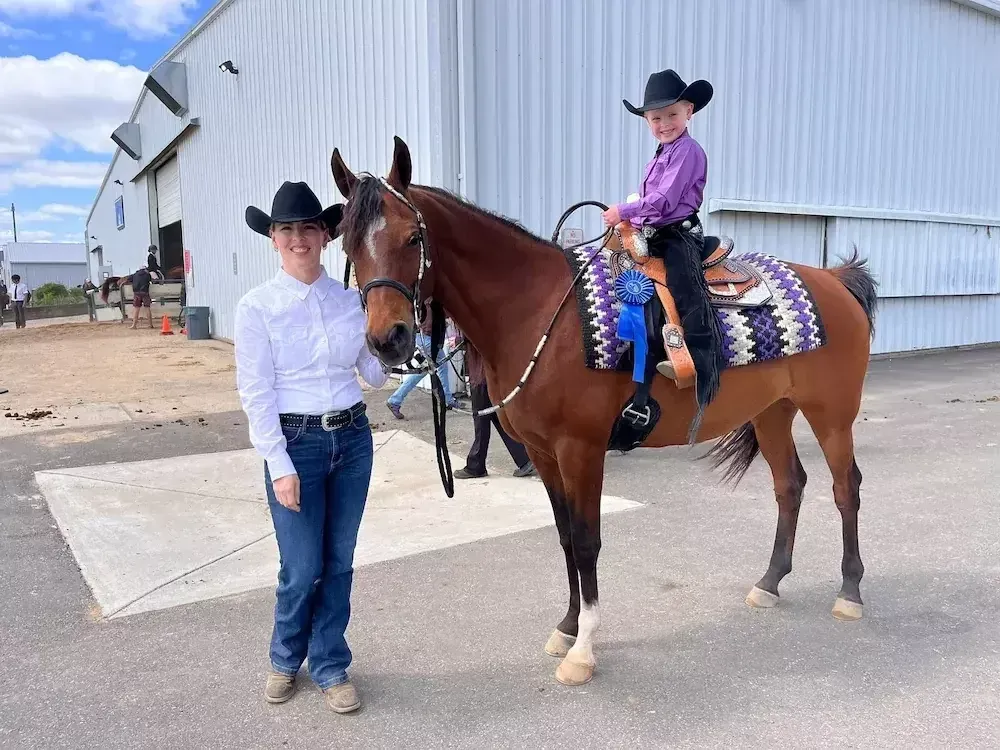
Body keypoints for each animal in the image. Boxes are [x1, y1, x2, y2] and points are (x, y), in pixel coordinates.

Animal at [331, 137, 878, 687]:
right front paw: (568, 626)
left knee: (846, 487)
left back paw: (850, 591)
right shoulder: (543, 452)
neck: (536, 310)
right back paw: (769, 582)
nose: (388, 339)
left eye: (411, 239)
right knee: (790, 485)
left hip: (831, 413)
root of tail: (834, 280)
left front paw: (583, 650)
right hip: (772, 413)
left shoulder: (582, 450)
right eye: (349, 246)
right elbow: (565, 538)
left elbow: (587, 540)